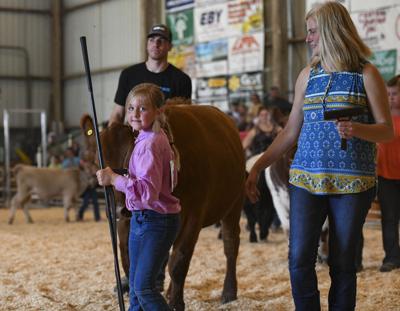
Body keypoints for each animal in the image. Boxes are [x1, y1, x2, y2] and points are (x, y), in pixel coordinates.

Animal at [79, 103, 245, 311]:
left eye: (132, 156)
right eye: (96, 162)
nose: (116, 209)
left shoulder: (194, 215)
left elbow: (179, 261)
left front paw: (176, 303)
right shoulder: (125, 222)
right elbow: (128, 261)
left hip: (234, 203)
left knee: (230, 245)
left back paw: (229, 291)